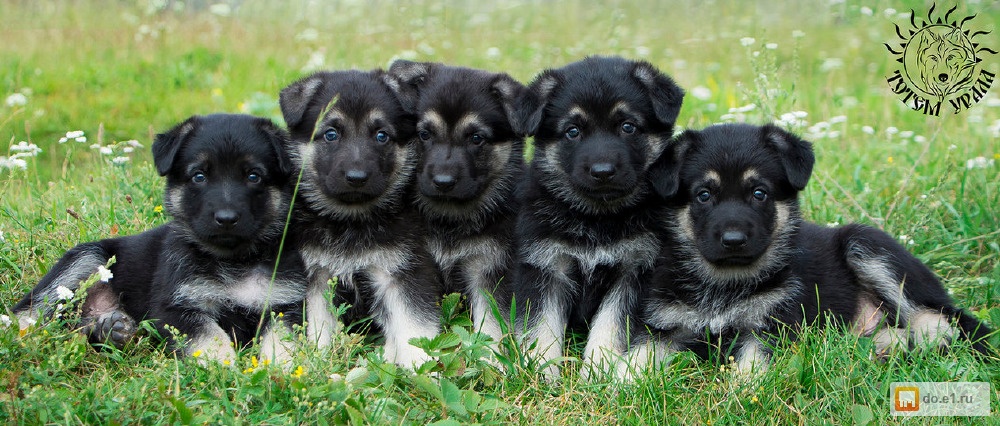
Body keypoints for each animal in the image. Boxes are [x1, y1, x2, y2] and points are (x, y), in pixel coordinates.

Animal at [13, 115, 304, 364]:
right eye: (199, 176)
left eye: (254, 176)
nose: (226, 218)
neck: (233, 259)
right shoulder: (173, 307)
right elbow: (209, 337)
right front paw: (225, 368)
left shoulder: (286, 303)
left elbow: (282, 338)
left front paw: (279, 368)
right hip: (88, 259)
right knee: (29, 313)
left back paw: (112, 328)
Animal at [278, 70, 442, 370]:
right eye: (331, 134)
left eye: (381, 135)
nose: (356, 177)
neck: (351, 221)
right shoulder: (318, 276)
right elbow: (320, 326)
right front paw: (320, 361)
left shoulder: (403, 272)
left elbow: (413, 326)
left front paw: (421, 367)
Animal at [384, 60, 536, 342]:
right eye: (424, 134)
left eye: (476, 138)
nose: (443, 182)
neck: (448, 217)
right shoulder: (415, 264)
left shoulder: (489, 269)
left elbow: (491, 326)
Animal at [636, 121, 996, 374]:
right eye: (704, 195)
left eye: (759, 193)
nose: (734, 240)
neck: (724, 282)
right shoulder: (664, 327)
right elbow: (636, 358)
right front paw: (622, 387)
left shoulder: (771, 327)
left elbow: (752, 368)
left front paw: (741, 396)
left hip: (868, 246)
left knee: (942, 320)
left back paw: (916, 343)